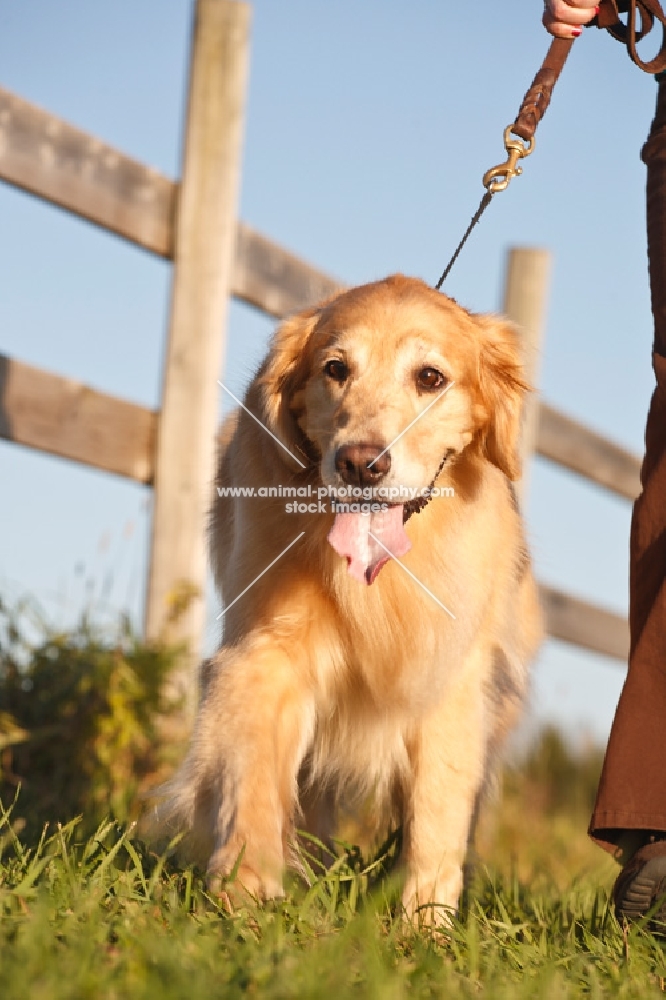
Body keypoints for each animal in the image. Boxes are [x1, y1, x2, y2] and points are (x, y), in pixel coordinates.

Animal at [163, 274, 544, 920]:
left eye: (430, 377)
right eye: (335, 369)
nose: (361, 464)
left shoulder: (452, 682)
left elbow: (437, 814)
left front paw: (425, 925)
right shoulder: (264, 651)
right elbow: (252, 779)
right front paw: (246, 896)